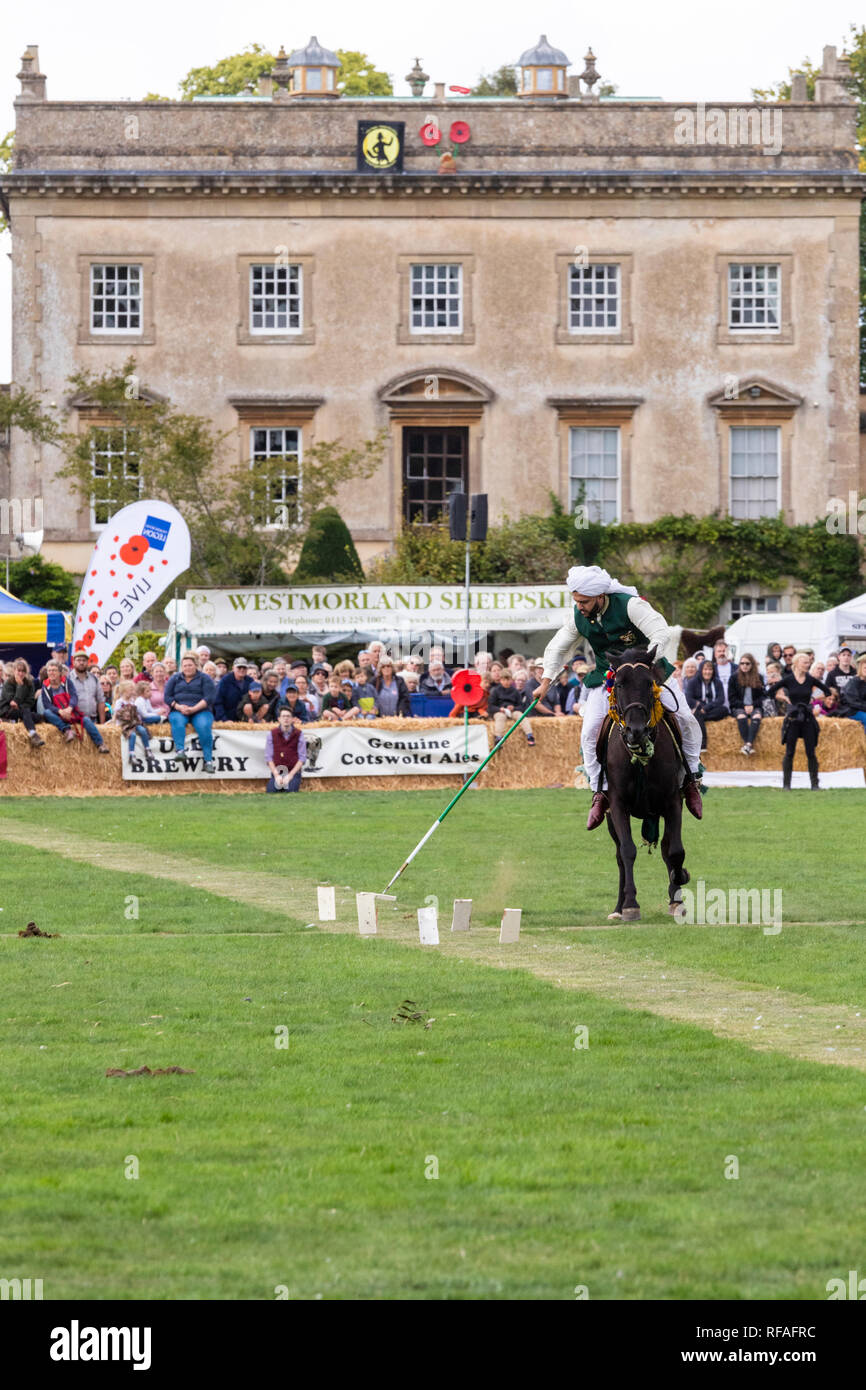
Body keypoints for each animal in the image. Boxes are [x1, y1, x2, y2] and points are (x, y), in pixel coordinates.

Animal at [603, 647, 692, 922]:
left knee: (665, 848)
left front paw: (679, 887)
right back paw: (618, 907)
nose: (636, 731)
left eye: (649, 682)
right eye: (619, 684)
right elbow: (627, 851)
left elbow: (674, 851)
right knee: (619, 855)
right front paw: (630, 904)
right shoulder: (617, 805)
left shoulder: (672, 802)